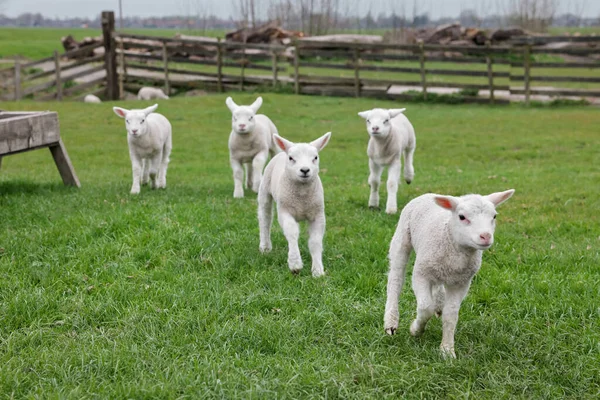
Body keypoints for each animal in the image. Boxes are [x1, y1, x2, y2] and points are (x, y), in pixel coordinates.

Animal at [258, 133, 332, 276]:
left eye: (315, 157)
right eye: (291, 158)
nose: (305, 170)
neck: (301, 197)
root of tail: (282, 152)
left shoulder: (318, 214)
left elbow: (315, 241)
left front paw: (318, 270)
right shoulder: (284, 210)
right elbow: (291, 232)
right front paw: (295, 263)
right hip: (265, 190)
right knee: (265, 219)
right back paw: (265, 247)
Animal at [384, 189, 516, 358]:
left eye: (494, 216)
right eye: (462, 217)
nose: (486, 236)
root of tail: (428, 194)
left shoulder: (462, 282)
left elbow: (451, 315)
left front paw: (447, 350)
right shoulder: (420, 274)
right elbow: (425, 307)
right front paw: (415, 329)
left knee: (437, 287)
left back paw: (439, 305)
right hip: (402, 238)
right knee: (396, 278)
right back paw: (391, 322)